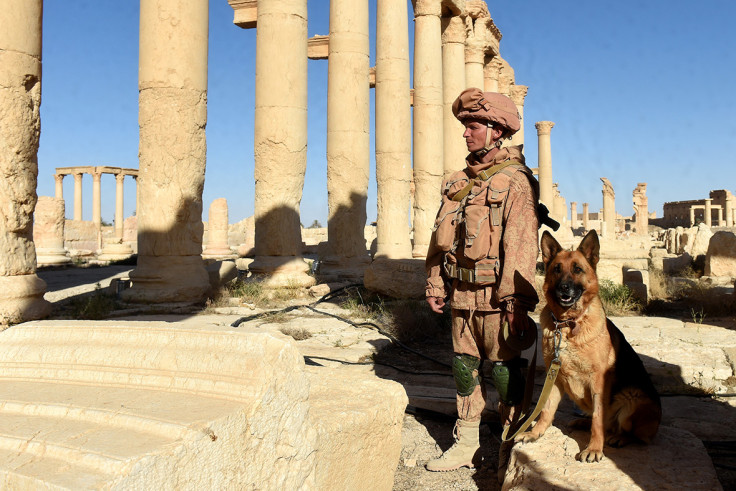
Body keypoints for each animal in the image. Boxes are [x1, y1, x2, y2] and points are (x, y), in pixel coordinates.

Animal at [516, 229, 664, 464]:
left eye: (578, 269)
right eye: (557, 269)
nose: (563, 288)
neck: (568, 324)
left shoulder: (598, 382)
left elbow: (597, 418)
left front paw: (594, 448)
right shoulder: (554, 377)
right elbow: (546, 410)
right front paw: (535, 433)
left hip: (632, 397)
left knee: (630, 433)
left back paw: (619, 437)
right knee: (606, 424)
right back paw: (583, 423)